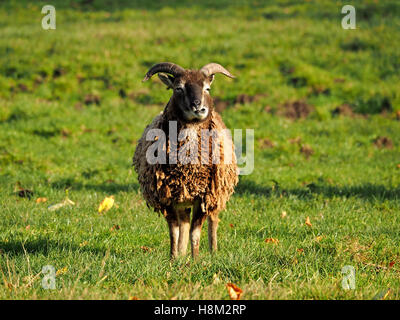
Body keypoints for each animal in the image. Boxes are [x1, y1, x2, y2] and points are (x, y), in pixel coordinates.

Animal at [133, 62, 239, 258]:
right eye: (178, 88)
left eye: (207, 88)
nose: (199, 108)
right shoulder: (167, 196)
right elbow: (174, 231)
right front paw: (173, 258)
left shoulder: (204, 196)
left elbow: (195, 231)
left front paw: (196, 259)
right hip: (183, 198)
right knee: (183, 223)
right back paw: (181, 254)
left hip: (217, 192)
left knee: (213, 220)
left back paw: (213, 252)